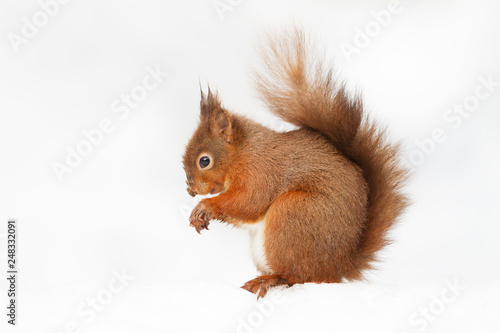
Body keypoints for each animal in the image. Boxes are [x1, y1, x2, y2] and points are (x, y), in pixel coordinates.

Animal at [182, 29, 408, 298]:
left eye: (204, 161)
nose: (190, 189)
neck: (244, 153)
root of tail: (340, 267)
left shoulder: (261, 172)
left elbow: (248, 201)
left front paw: (205, 206)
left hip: (291, 214)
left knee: (297, 277)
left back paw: (268, 281)